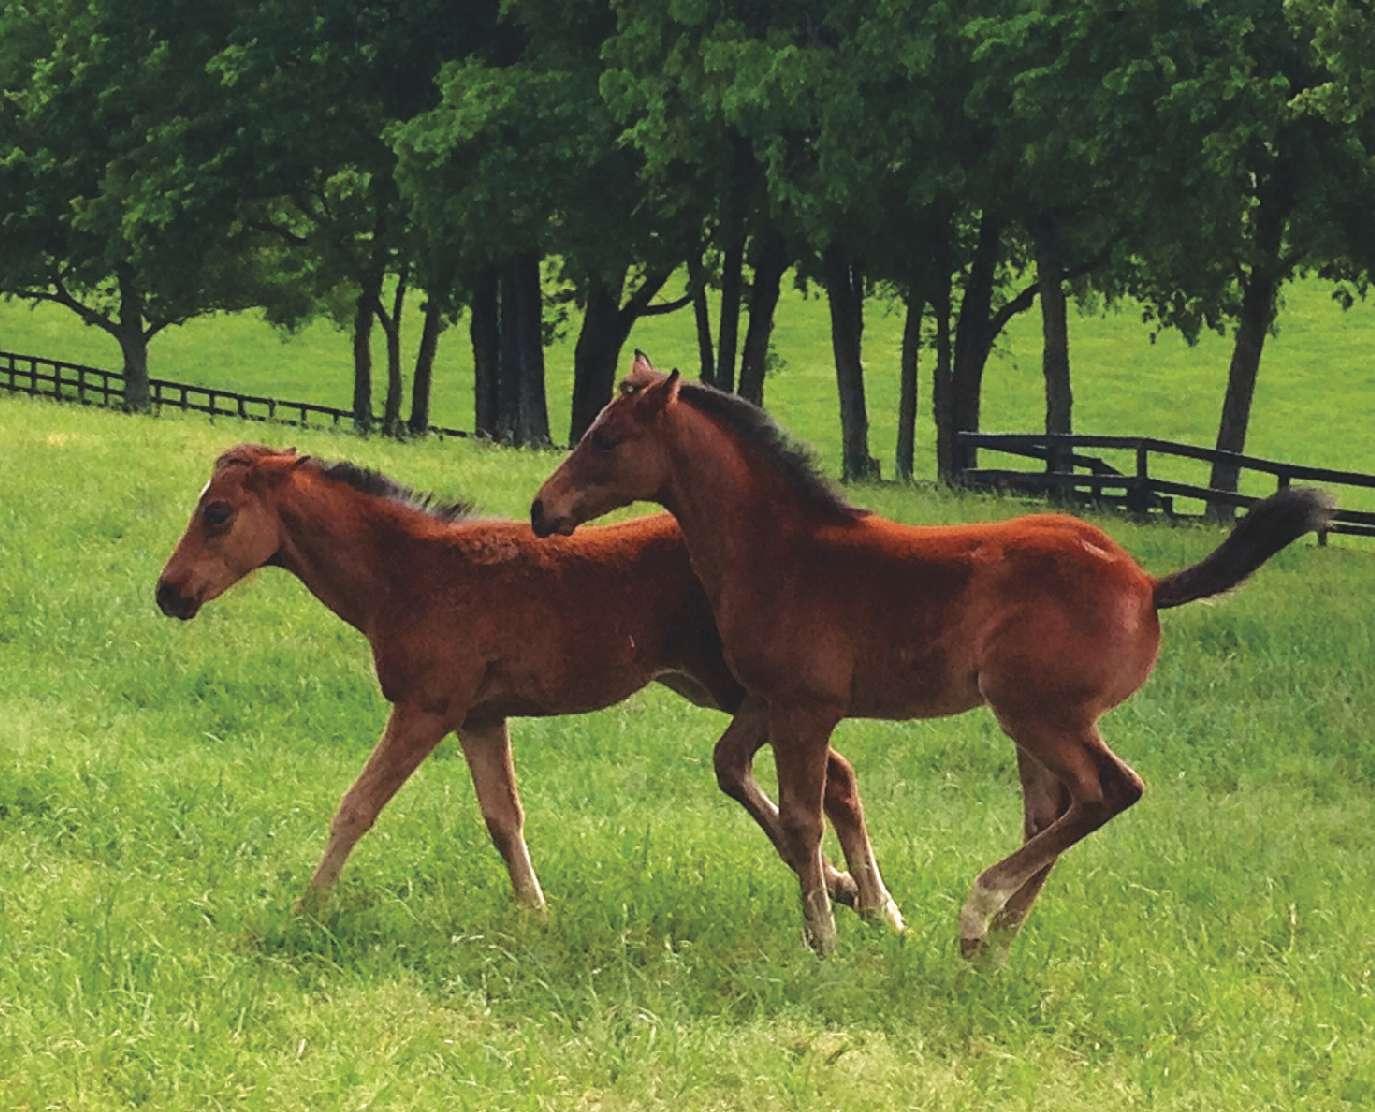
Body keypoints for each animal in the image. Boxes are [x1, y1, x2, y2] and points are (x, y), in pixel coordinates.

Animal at [155, 443, 876, 919]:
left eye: (217, 514)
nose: (168, 594)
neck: (409, 573)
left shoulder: (427, 707)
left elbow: (357, 806)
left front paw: (308, 906)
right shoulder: (479, 716)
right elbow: (503, 818)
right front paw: (535, 913)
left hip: (748, 688)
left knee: (828, 776)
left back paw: (859, 896)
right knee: (820, 777)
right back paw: (860, 898)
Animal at [530, 353, 1334, 955]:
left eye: (606, 439)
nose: (543, 510)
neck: (781, 552)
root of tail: (1145, 584)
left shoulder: (807, 708)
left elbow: (801, 818)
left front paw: (824, 938)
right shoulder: (767, 700)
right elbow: (736, 772)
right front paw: (853, 902)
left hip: (1039, 715)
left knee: (1108, 791)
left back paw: (979, 911)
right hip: (1035, 729)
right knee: (1052, 814)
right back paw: (995, 940)